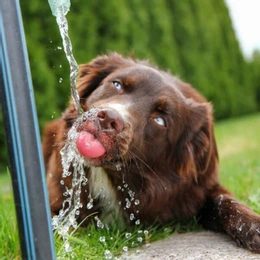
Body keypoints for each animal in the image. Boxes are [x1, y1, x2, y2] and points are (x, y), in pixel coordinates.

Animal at [43, 52, 260, 252]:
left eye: (160, 120)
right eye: (117, 84)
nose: (109, 119)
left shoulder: (199, 187)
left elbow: (225, 201)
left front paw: (253, 226)